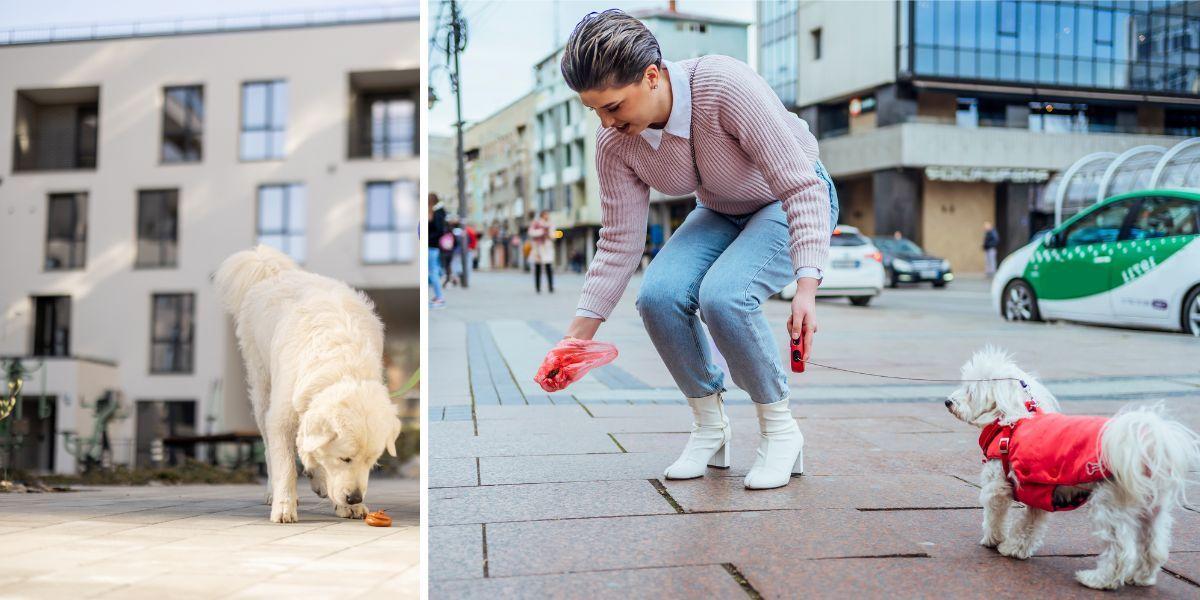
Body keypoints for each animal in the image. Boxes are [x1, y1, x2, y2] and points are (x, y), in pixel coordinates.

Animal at [216, 246, 403, 523]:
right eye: (345, 458)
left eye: (371, 461)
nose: (354, 497)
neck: (342, 367)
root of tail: (274, 271)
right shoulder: (281, 415)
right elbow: (285, 464)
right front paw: (284, 506)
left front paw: (349, 506)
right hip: (262, 385)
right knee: (270, 449)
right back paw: (275, 491)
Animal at [945, 350, 1200, 588]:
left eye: (969, 391)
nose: (948, 401)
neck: (1012, 421)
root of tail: (1146, 444)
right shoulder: (1039, 492)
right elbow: (1030, 524)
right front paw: (1015, 548)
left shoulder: (997, 485)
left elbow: (995, 514)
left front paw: (993, 540)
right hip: (1152, 507)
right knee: (1154, 546)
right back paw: (1141, 577)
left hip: (1110, 504)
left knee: (1120, 550)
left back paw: (1098, 580)